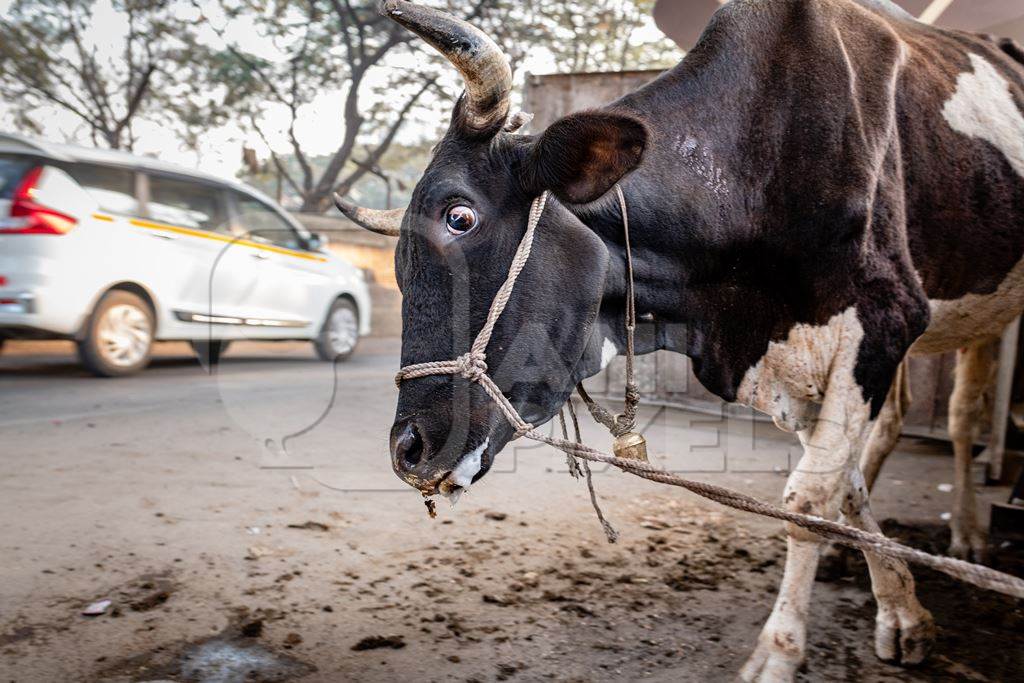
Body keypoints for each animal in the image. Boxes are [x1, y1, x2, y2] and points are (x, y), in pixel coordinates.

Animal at [337, 0, 1024, 679]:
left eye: (460, 216)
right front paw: (902, 612)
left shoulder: (884, 323)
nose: (408, 451)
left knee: (962, 416)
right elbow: (842, 485)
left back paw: (968, 535)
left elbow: (810, 495)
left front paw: (778, 653)